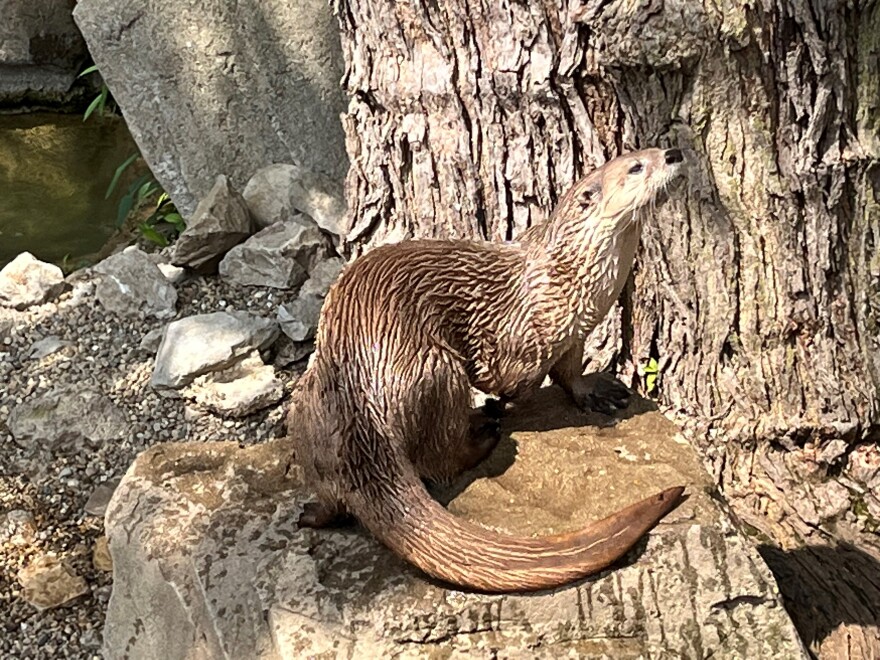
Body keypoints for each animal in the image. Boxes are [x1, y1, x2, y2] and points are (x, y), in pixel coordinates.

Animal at [288, 148, 688, 592]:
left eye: (651, 150)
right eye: (636, 166)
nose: (673, 153)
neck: (569, 276)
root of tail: (360, 399)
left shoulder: (574, 334)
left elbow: (570, 375)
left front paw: (598, 393)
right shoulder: (522, 332)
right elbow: (511, 379)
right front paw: (504, 403)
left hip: (309, 403)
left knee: (334, 495)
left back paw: (313, 513)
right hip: (434, 369)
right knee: (439, 458)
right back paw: (484, 432)